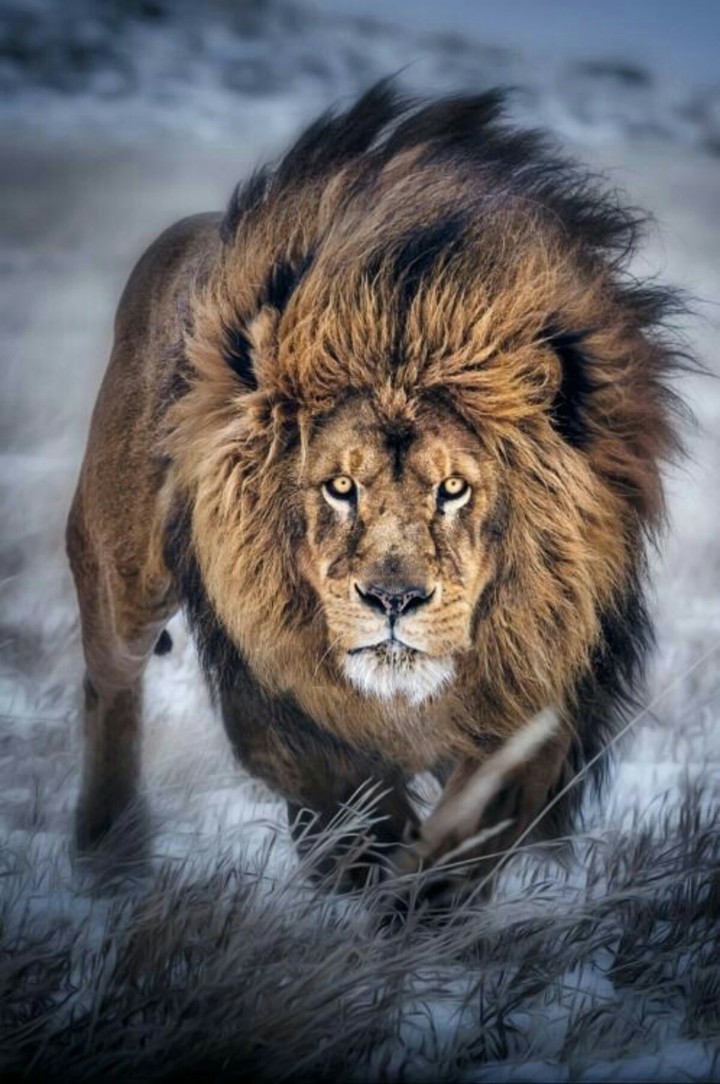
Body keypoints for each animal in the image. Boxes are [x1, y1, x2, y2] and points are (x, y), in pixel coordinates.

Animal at [67, 82, 685, 899]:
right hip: (123, 577)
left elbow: (466, 835)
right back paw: (110, 851)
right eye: (339, 486)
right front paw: (367, 882)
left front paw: (417, 900)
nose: (394, 601)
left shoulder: (541, 693)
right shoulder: (280, 704)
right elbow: (357, 812)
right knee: (109, 684)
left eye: (453, 488)